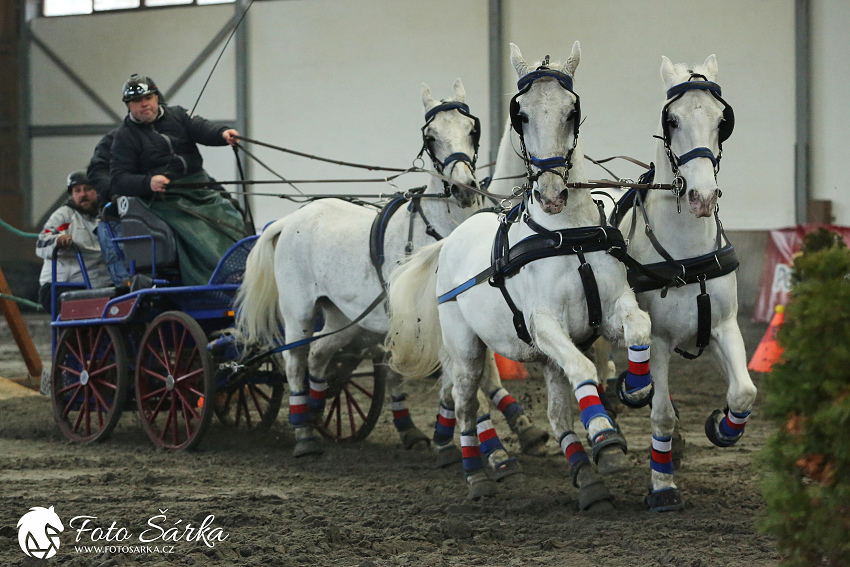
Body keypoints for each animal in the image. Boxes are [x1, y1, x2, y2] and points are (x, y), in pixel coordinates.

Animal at [232, 81, 540, 462]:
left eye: (472, 129)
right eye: (430, 137)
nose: (463, 188)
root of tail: (290, 219)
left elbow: (486, 376)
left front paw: (524, 430)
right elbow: (465, 380)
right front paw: (486, 446)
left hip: (344, 316)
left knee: (319, 354)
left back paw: (317, 412)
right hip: (298, 310)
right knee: (295, 360)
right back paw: (304, 434)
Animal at [384, 44, 648, 506]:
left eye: (572, 111)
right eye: (519, 114)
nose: (552, 193)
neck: (566, 235)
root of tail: (450, 242)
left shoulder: (611, 311)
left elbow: (639, 329)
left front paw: (635, 390)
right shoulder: (544, 324)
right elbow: (584, 369)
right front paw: (605, 436)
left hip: (542, 358)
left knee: (558, 416)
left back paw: (586, 478)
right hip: (466, 348)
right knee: (466, 401)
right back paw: (479, 473)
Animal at [608, 55, 756, 512]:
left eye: (722, 119)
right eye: (671, 119)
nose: (702, 197)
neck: (687, 256)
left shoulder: (724, 326)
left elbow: (744, 392)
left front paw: (723, 429)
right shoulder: (657, 340)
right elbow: (661, 416)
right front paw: (663, 488)